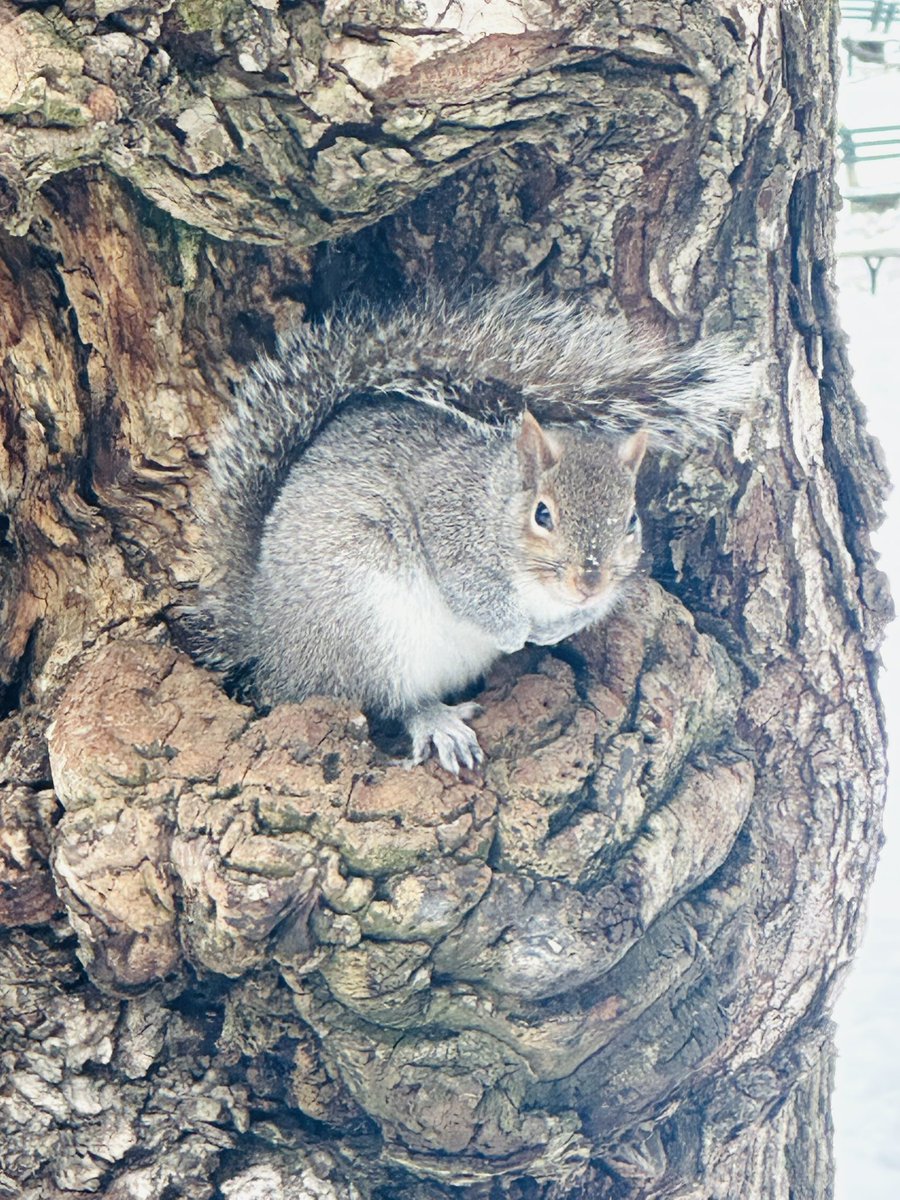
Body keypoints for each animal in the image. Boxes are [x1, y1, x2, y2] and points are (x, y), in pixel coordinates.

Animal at [198, 285, 746, 774]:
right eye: (542, 514)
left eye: (631, 519)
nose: (588, 581)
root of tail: (267, 645)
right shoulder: (449, 523)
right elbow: (473, 594)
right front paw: (516, 632)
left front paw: (554, 629)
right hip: (362, 625)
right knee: (385, 698)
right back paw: (435, 719)